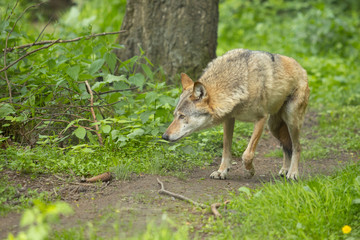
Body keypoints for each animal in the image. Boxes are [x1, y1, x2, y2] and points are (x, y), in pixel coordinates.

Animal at [162, 48, 310, 180]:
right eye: (175, 115)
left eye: (182, 116)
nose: (164, 136)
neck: (241, 85)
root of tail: (302, 68)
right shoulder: (229, 119)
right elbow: (226, 150)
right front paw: (221, 171)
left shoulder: (261, 118)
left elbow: (247, 154)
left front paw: (251, 171)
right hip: (274, 127)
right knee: (286, 147)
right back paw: (285, 170)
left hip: (290, 121)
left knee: (297, 147)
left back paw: (293, 173)